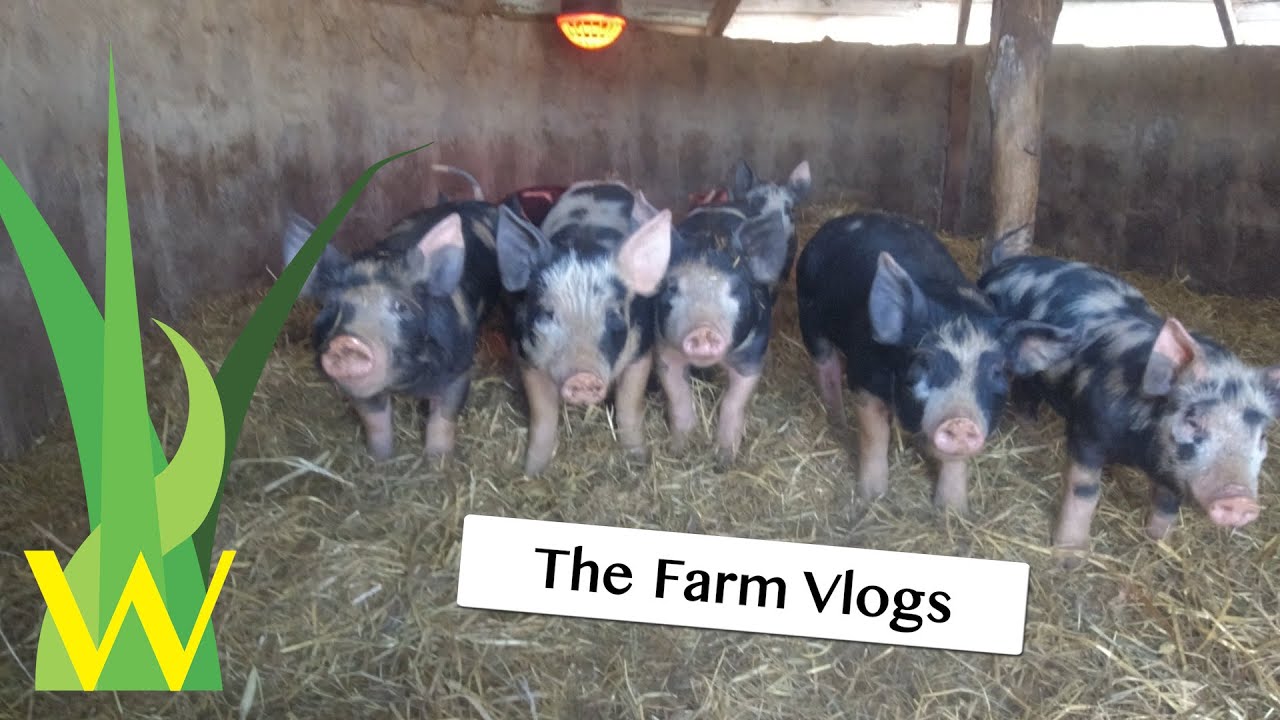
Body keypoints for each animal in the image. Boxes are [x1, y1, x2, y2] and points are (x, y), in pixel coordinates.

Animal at [282, 192, 502, 463]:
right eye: (331, 306)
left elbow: (443, 420)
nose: (347, 342)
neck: (404, 384)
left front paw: (437, 462)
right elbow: (375, 423)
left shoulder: (459, 370)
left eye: (401, 306)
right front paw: (380, 460)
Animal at [495, 180, 673, 476]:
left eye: (613, 316)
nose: (583, 377)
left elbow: (629, 404)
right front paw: (531, 472)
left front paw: (639, 460)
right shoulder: (526, 354)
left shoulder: (642, 348)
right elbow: (543, 415)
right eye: (548, 314)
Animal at [654, 204, 789, 468]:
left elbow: (733, 402)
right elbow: (678, 395)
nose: (703, 329)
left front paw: (724, 460)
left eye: (735, 289)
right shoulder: (664, 349)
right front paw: (680, 450)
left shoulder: (751, 355)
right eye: (672, 288)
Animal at [795, 211, 1079, 510]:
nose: (961, 420)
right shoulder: (865, 377)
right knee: (826, 367)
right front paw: (872, 496)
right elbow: (874, 436)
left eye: (998, 370)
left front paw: (953, 510)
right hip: (809, 316)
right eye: (923, 361)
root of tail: (839, 221)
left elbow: (954, 461)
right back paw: (837, 423)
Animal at [978, 254, 1280, 554]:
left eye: (1262, 436)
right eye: (1193, 422)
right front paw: (1070, 554)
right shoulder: (1087, 431)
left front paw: (1159, 544)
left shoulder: (1173, 468)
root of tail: (1005, 264)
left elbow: (1167, 503)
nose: (1240, 500)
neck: (1139, 450)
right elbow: (1084, 490)